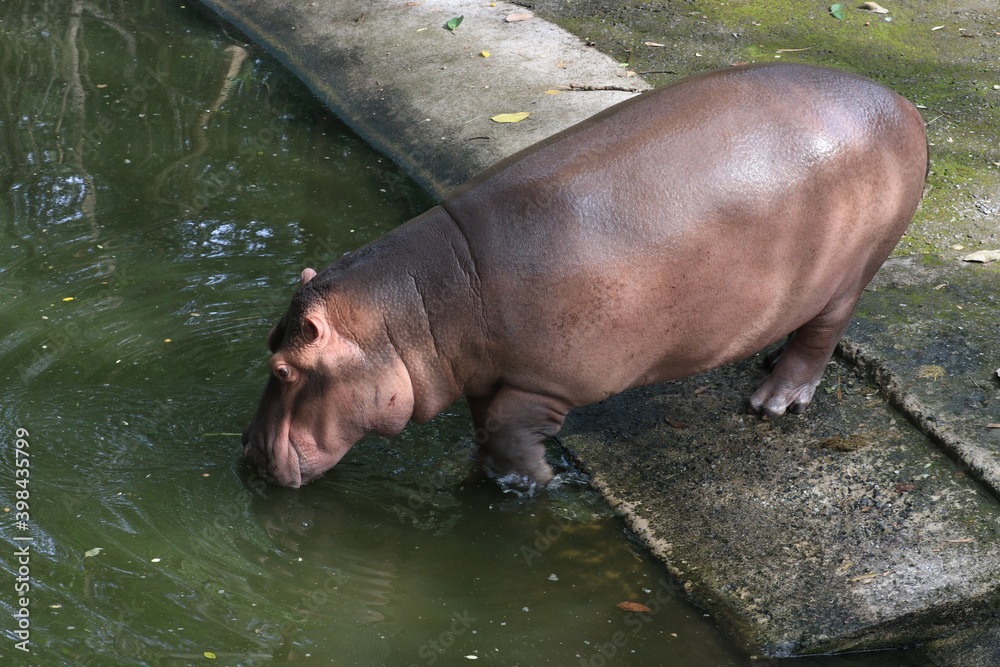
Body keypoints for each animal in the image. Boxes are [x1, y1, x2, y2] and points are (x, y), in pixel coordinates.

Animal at [243, 63, 927, 488]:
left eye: (283, 370)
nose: (246, 449)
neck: (412, 306)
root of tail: (900, 103)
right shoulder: (485, 373)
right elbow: (484, 429)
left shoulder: (538, 382)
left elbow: (508, 436)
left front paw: (531, 484)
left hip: (847, 277)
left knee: (821, 337)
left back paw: (772, 401)